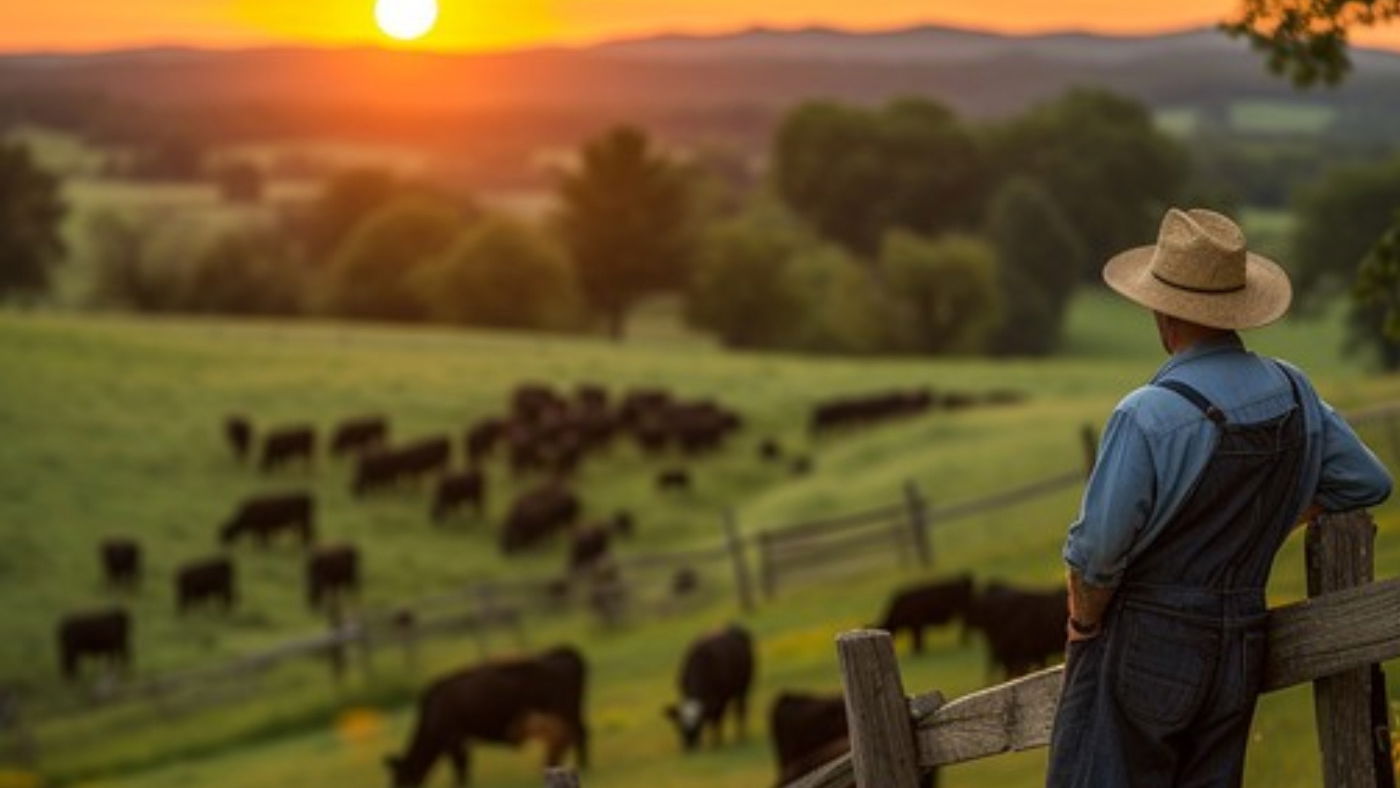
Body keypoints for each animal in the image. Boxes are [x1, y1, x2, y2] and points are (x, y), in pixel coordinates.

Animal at [386, 646, 588, 788]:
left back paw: (584, 766)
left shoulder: (454, 738)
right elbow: (464, 766)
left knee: (579, 734)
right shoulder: (460, 740)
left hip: (565, 711)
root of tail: (563, 651)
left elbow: (461, 768)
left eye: (400, 779)